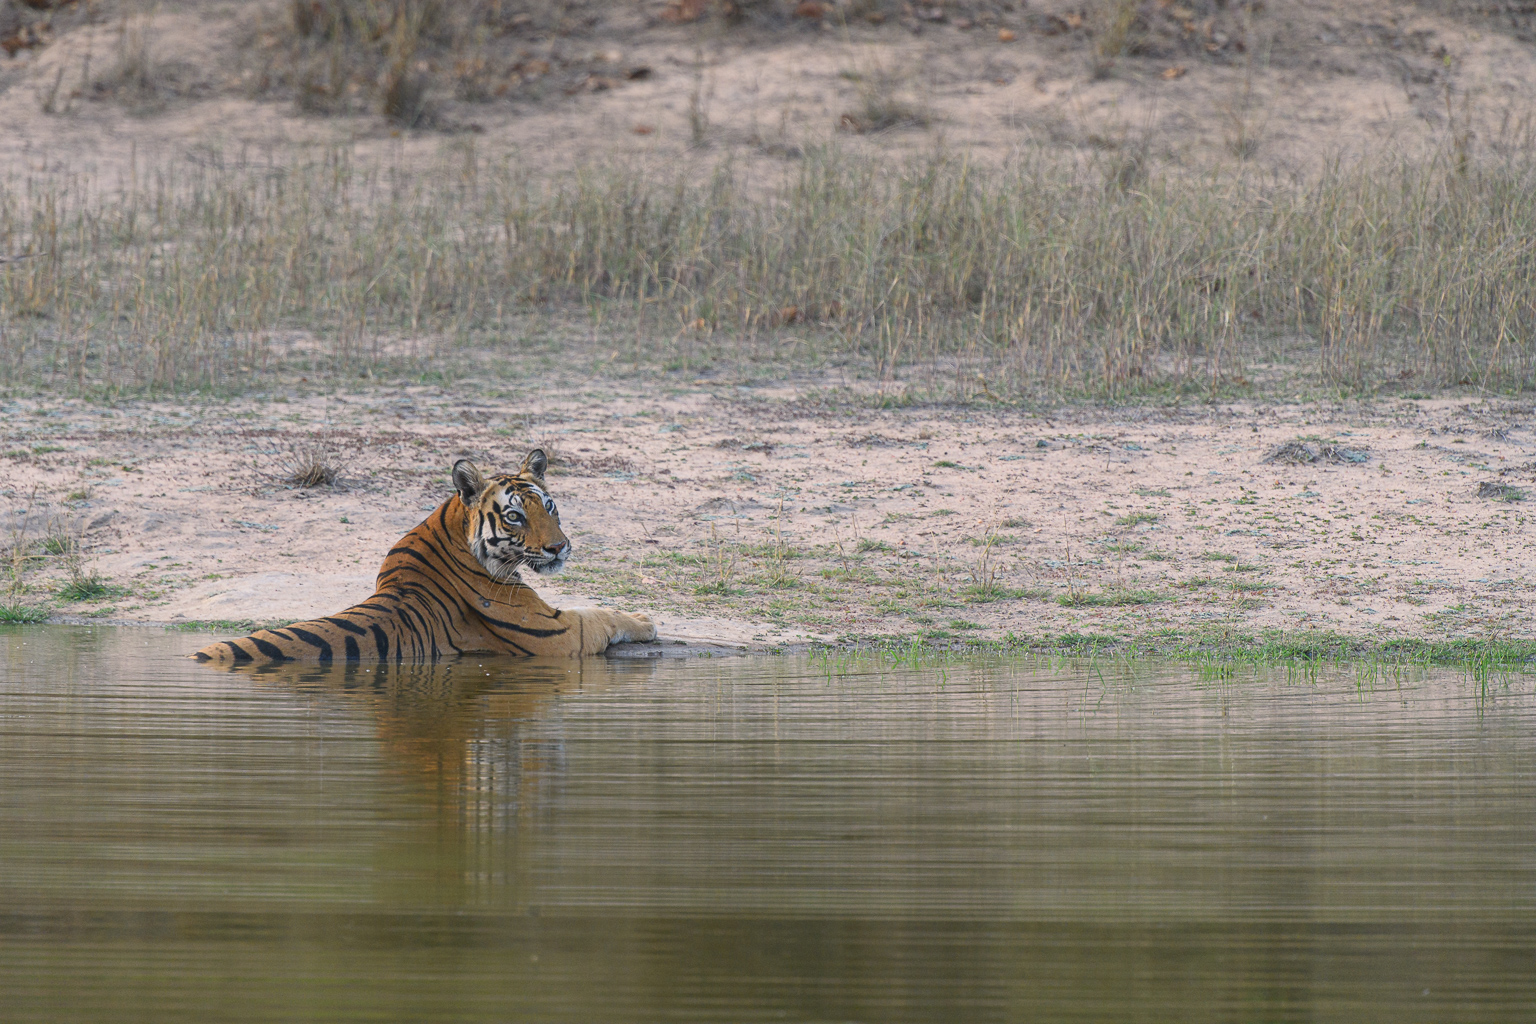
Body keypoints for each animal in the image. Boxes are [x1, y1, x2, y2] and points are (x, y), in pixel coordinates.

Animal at [193, 449, 656, 665]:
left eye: (550, 507)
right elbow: (600, 614)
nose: (559, 547)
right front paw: (645, 620)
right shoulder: (559, 635)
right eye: (514, 516)